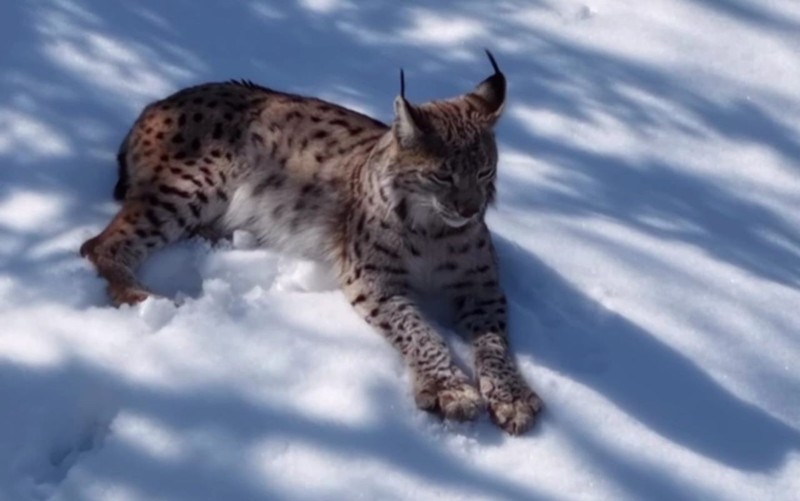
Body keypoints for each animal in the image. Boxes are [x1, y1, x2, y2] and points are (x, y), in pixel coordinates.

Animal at [81, 49, 540, 434]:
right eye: (443, 175)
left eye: (485, 172)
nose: (470, 210)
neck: (432, 228)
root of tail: (159, 101)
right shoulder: (372, 279)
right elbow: (419, 330)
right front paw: (449, 388)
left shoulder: (481, 284)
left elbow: (494, 343)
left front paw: (511, 395)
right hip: (191, 185)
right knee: (96, 244)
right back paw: (137, 295)